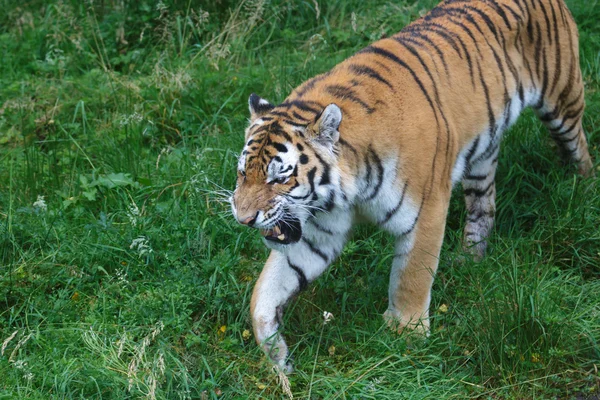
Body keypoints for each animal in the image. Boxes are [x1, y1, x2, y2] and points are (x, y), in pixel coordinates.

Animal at [230, 0, 596, 372]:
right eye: (244, 173)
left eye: (280, 177)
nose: (243, 219)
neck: (347, 193)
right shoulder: (320, 232)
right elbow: (269, 286)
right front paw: (274, 349)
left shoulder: (426, 210)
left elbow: (412, 276)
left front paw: (407, 338)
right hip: (482, 156)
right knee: (484, 205)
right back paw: (470, 259)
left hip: (563, 99)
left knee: (580, 146)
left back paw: (582, 189)